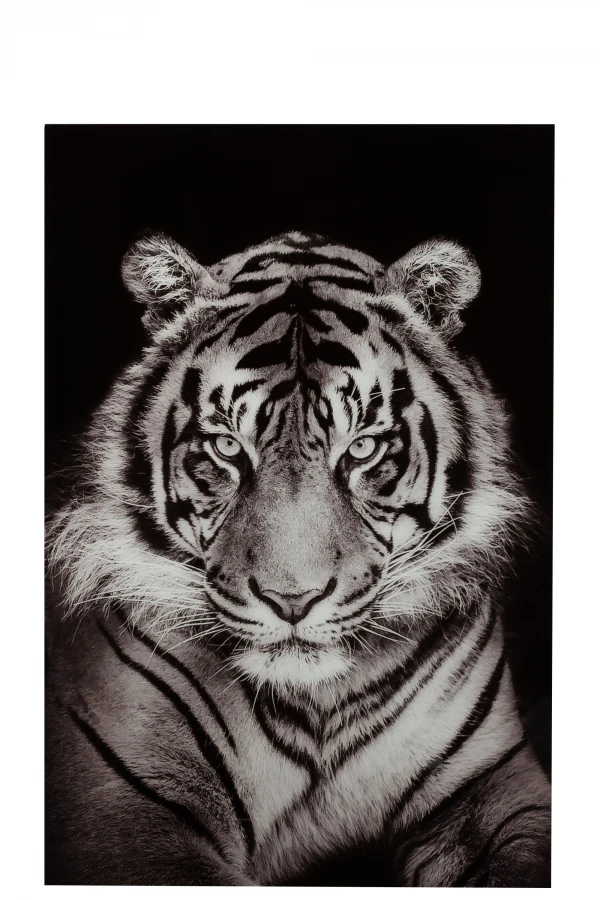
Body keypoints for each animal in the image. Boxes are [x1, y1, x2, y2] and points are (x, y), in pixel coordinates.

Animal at [46, 229, 551, 887]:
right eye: (226, 446)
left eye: (362, 448)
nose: (292, 600)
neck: (319, 707)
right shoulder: (128, 812)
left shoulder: (497, 781)